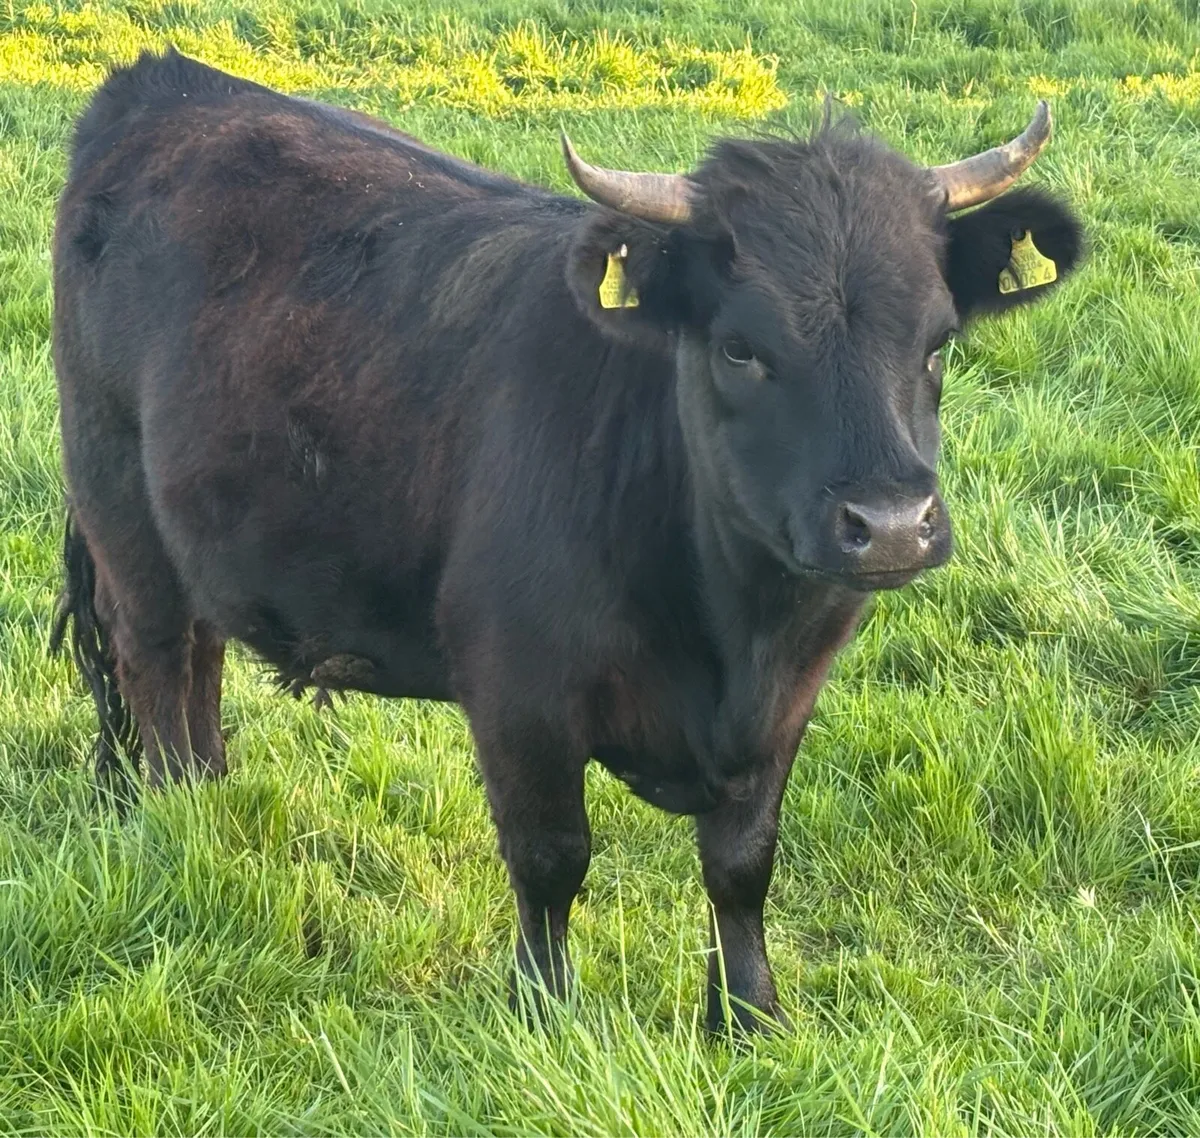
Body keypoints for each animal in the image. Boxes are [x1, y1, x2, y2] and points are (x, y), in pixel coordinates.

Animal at [49, 48, 1083, 1032]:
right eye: (740, 347)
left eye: (938, 342)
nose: (892, 526)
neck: (732, 631)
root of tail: (165, 83)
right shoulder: (517, 694)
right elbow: (551, 858)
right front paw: (544, 1011)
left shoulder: (786, 702)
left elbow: (742, 864)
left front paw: (751, 1016)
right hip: (117, 501)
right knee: (153, 660)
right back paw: (179, 819)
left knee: (201, 654)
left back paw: (207, 795)